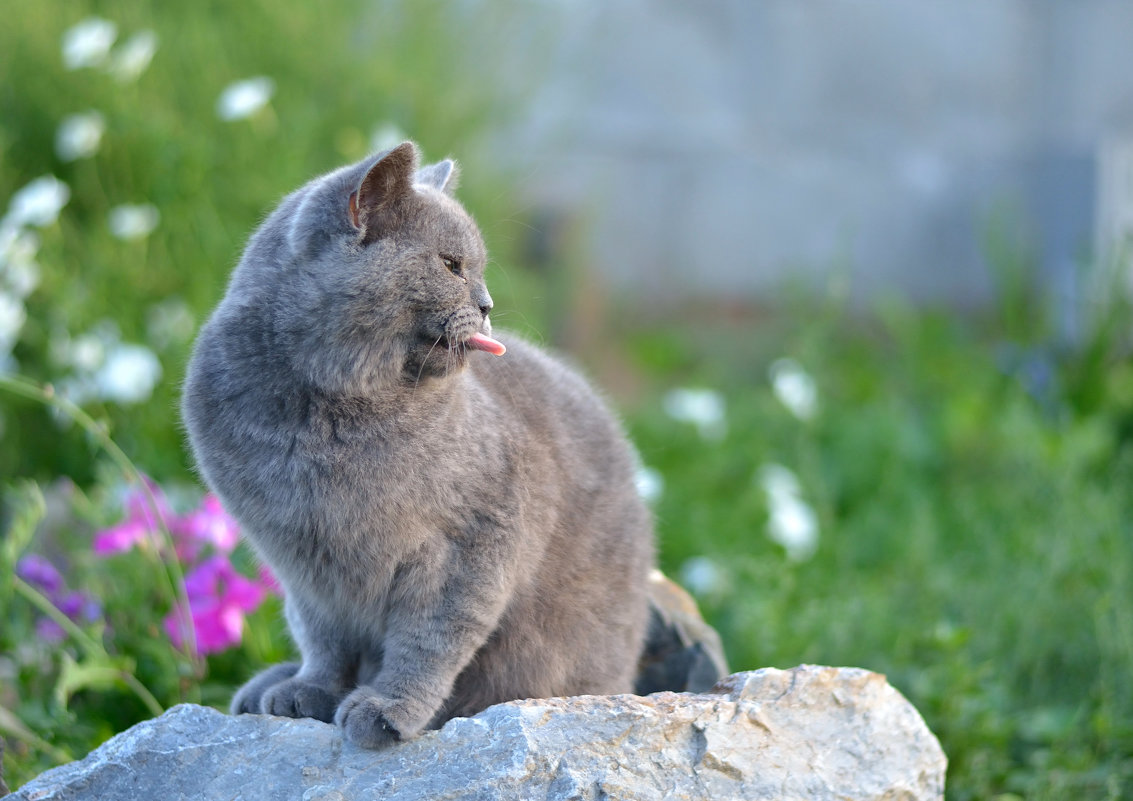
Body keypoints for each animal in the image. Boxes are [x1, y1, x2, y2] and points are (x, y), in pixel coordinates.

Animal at [179, 141, 657, 747]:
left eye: (476, 267)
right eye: (452, 265)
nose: (488, 304)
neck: (329, 413)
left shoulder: (469, 546)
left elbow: (429, 642)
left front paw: (388, 708)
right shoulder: (302, 563)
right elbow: (324, 639)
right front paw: (310, 689)